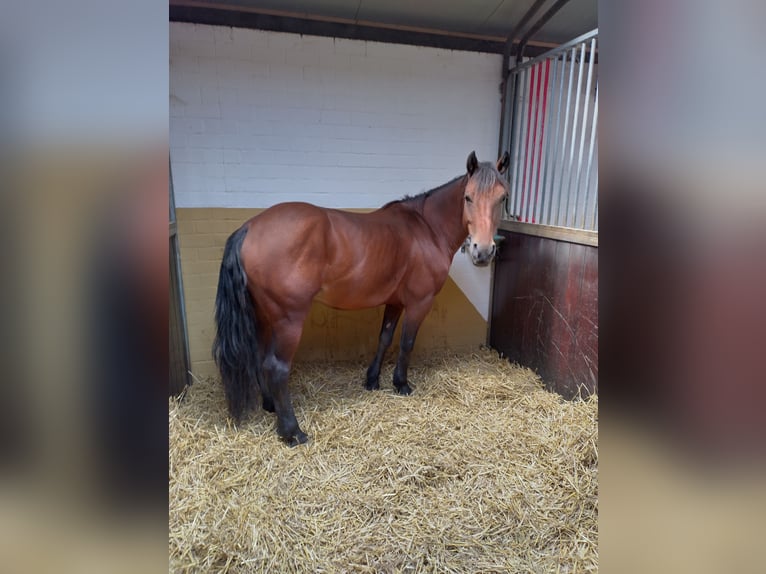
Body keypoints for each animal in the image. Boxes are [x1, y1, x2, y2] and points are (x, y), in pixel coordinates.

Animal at [213, 151, 510, 448]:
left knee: (260, 358)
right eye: (468, 197)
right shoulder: (419, 303)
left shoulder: (395, 302)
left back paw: (271, 405)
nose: (483, 252)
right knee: (276, 367)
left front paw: (372, 380)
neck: (427, 229)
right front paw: (401, 384)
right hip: (288, 320)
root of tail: (249, 228)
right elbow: (406, 343)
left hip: (264, 316)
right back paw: (292, 431)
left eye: (503, 198)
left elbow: (385, 338)